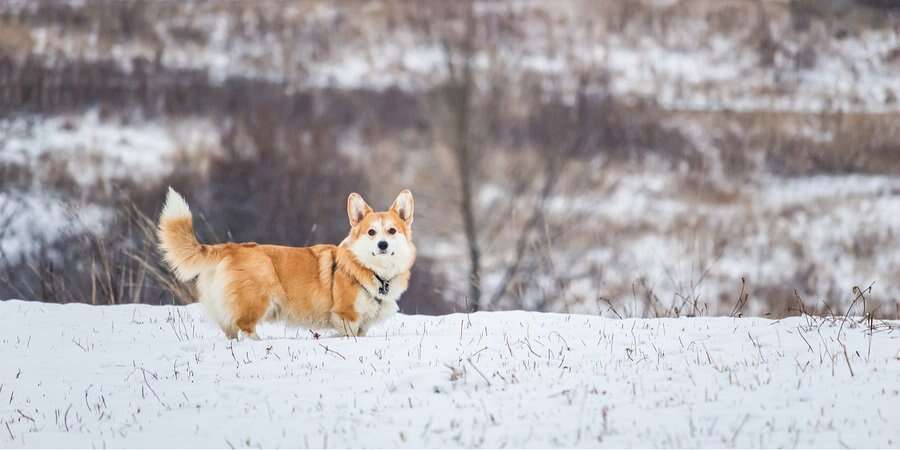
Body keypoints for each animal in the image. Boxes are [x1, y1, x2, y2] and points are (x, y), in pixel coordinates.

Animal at [157, 188, 414, 340]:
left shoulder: (363, 325)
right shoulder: (346, 316)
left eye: (392, 231)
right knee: (245, 327)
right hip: (257, 298)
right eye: (371, 232)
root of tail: (231, 247)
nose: (382, 245)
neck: (375, 272)